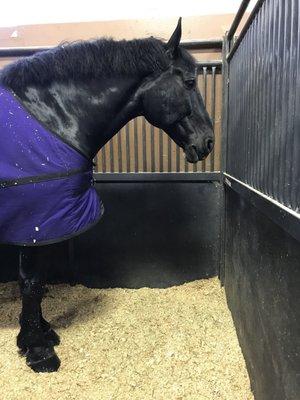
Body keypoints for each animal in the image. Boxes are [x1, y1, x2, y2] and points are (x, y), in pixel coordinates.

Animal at [1, 18, 214, 372]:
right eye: (188, 82)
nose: (209, 141)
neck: (50, 118)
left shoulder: (44, 224)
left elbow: (38, 281)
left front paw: (42, 332)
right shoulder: (35, 221)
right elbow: (31, 283)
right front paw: (38, 350)